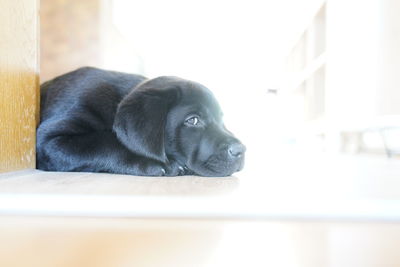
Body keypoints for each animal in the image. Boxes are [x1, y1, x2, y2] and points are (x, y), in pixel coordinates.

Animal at [36, 67, 244, 177]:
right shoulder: (50, 141)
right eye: (193, 120)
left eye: (222, 119)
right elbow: (106, 143)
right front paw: (161, 162)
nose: (241, 150)